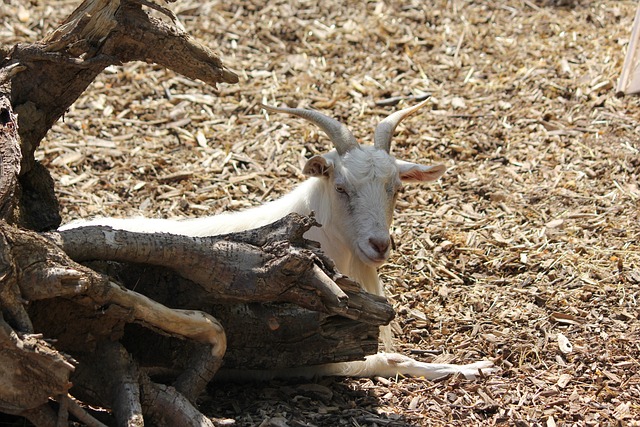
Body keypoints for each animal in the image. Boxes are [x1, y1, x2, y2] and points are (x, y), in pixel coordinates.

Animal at [60, 100, 495, 380]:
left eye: (396, 189)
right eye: (341, 187)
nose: (379, 245)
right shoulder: (313, 349)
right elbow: (388, 360)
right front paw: (471, 367)